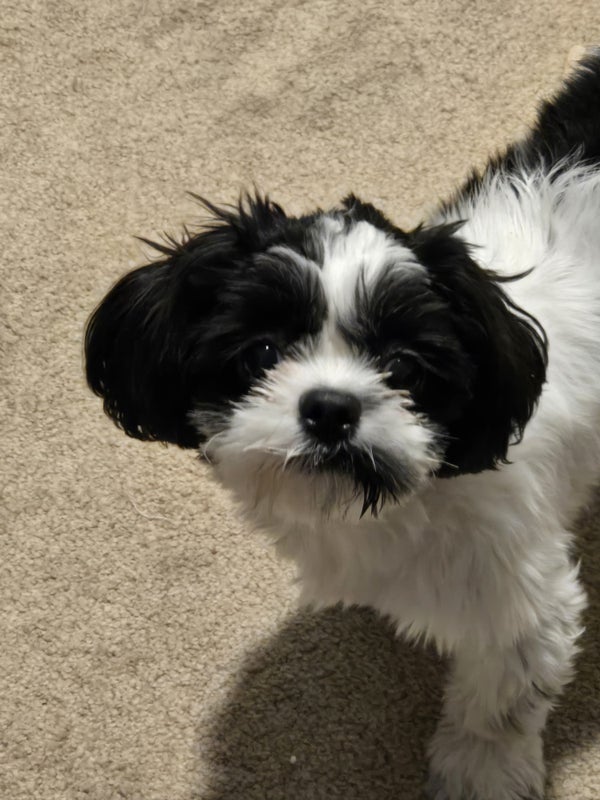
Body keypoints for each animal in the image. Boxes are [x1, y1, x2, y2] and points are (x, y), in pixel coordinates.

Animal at [85, 51, 600, 800]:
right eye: (261, 351)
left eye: (404, 365)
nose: (330, 407)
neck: (412, 502)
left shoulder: (521, 595)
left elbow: (497, 705)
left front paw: (480, 772)